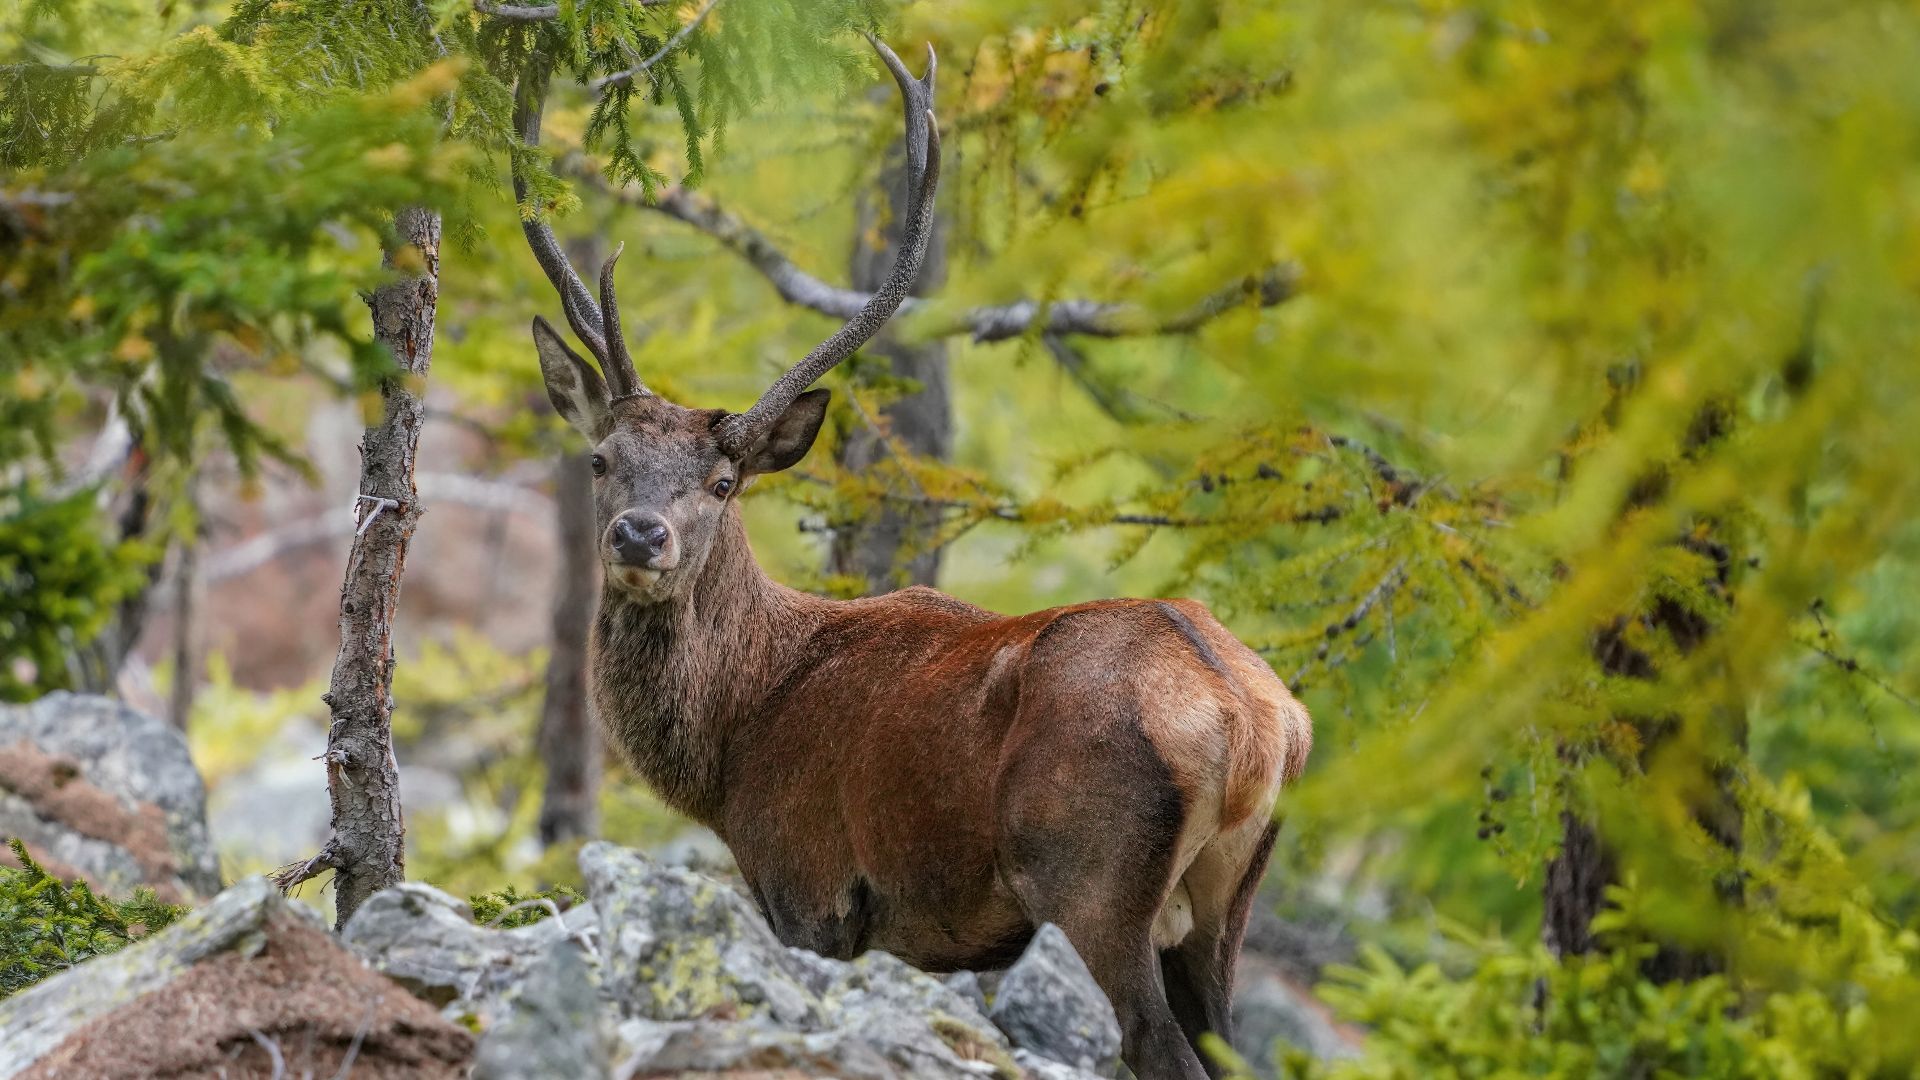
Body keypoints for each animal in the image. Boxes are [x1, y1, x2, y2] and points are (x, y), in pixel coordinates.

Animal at [511, 36, 1310, 1080]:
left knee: (1156, 1045)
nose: (641, 534)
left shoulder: (809, 885)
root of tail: (1254, 722)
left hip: (1091, 881)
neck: (733, 740)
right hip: (1224, 904)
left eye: (724, 483)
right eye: (602, 458)